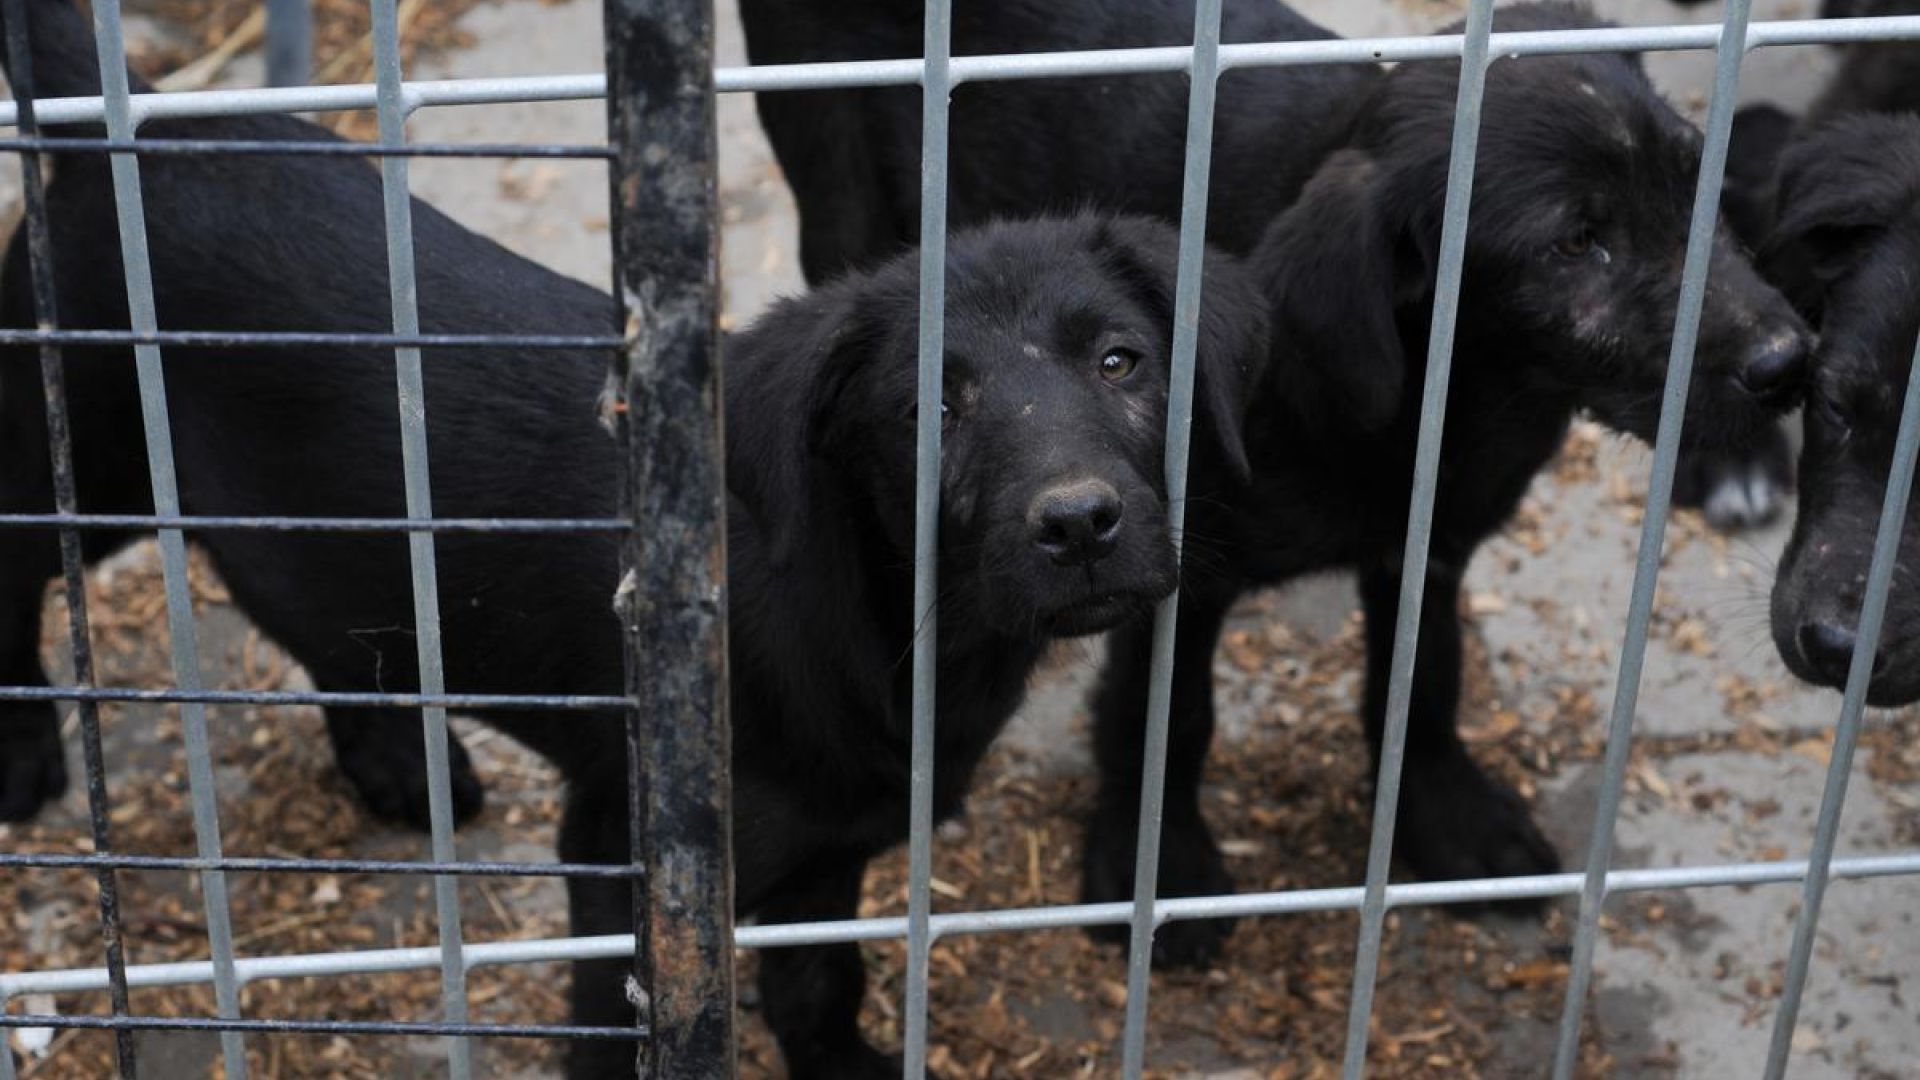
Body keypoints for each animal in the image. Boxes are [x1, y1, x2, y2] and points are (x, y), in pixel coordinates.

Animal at [0, 0, 1267, 1068]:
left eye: (1122, 363)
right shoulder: (621, 859)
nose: (1081, 521)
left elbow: (820, 984)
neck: (893, 625)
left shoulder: (833, 843)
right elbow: (620, 1026)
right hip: (82, 450)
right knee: (22, 570)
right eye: (928, 413)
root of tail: (132, 124)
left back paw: (395, 760)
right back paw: (33, 758)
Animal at [744, 0, 1812, 957]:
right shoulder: (1178, 567)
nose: (1790, 363)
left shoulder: (1432, 544)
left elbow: (1423, 681)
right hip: (842, 185)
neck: (1447, 394)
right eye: (1576, 244)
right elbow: (1167, 717)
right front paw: (1158, 874)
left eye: (1700, 183)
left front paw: (1446, 821)